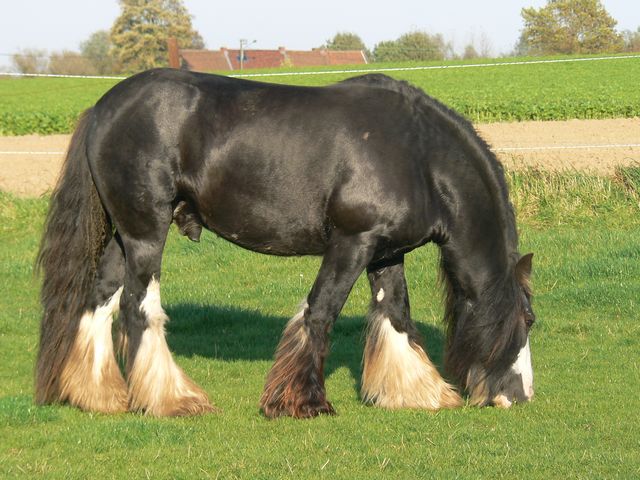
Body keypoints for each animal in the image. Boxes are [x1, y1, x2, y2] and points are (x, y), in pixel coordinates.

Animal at [35, 67, 536, 416]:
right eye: (528, 320)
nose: (521, 395)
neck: (416, 155)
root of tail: (103, 109)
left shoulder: (386, 253)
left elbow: (395, 316)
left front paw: (417, 392)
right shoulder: (352, 243)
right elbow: (320, 312)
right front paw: (302, 402)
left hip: (123, 235)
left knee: (99, 301)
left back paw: (97, 395)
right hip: (145, 233)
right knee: (138, 308)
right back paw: (171, 400)